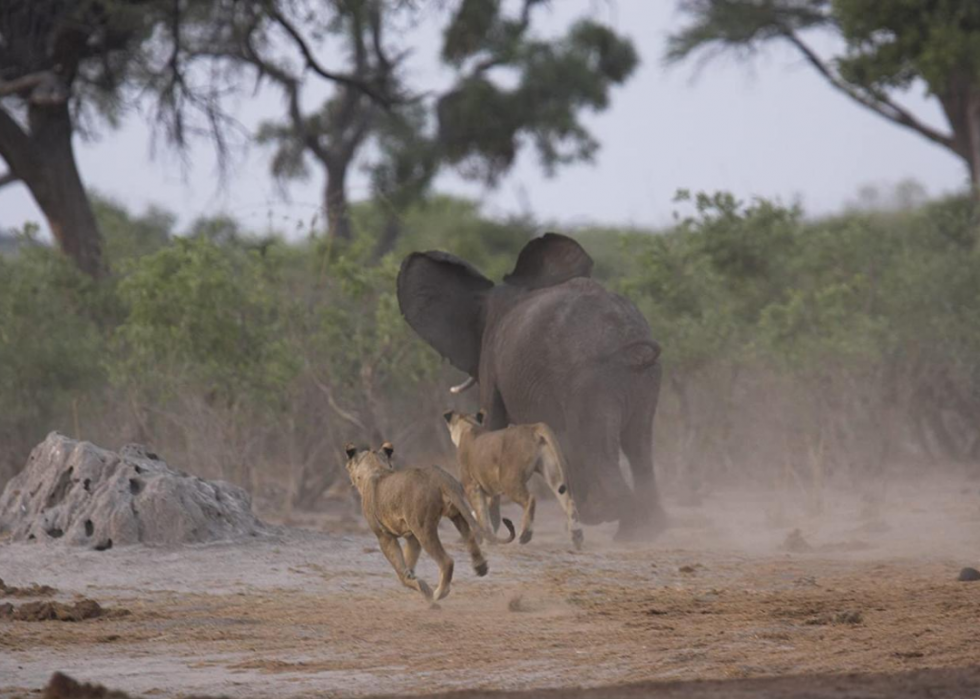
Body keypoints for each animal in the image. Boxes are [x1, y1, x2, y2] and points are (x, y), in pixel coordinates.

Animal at [398, 231, 668, 540]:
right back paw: (644, 529)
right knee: (637, 443)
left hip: (591, 379)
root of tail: (627, 338)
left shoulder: (492, 361)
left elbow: (491, 423)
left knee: (597, 443)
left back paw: (615, 518)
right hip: (644, 379)